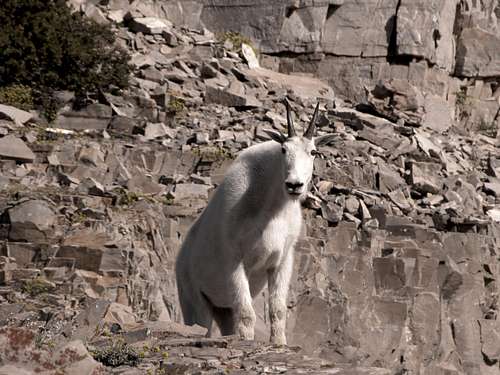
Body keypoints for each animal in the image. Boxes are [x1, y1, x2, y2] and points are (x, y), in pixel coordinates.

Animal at [176, 98, 336, 346]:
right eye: (283, 149)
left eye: (313, 151)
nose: (294, 185)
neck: (271, 210)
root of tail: (178, 262)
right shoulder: (234, 261)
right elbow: (247, 313)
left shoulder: (281, 262)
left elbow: (277, 310)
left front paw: (279, 343)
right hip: (194, 301)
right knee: (204, 326)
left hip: (222, 309)